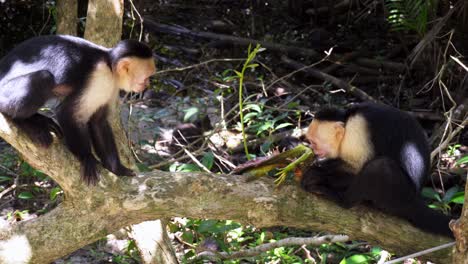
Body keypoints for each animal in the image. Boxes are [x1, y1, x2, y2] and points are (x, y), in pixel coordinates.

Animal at [0, 35, 157, 185]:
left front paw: (116, 168)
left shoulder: (111, 87)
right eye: (147, 77)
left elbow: (98, 121)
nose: (147, 84)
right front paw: (86, 157)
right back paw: (24, 123)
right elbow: (69, 113)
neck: (109, 65)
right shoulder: (99, 77)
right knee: (42, 78)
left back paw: (39, 120)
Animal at [300, 102, 454, 237]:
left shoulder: (357, 132)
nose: (313, 150)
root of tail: (415, 198)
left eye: (314, 142)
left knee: (380, 167)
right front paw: (319, 164)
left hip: (400, 196)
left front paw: (318, 175)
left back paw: (341, 199)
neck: (347, 124)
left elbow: (357, 169)